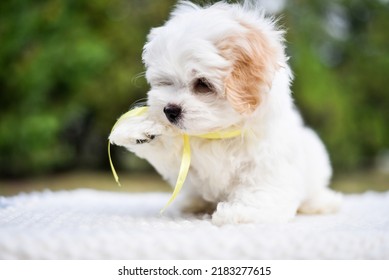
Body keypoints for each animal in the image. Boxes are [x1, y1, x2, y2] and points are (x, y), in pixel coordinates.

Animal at [108, 0, 340, 223]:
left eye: (203, 84)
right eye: (166, 82)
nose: (169, 110)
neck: (219, 134)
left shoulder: (268, 163)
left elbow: (261, 189)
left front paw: (241, 212)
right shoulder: (182, 164)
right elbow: (166, 152)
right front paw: (140, 129)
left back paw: (321, 203)